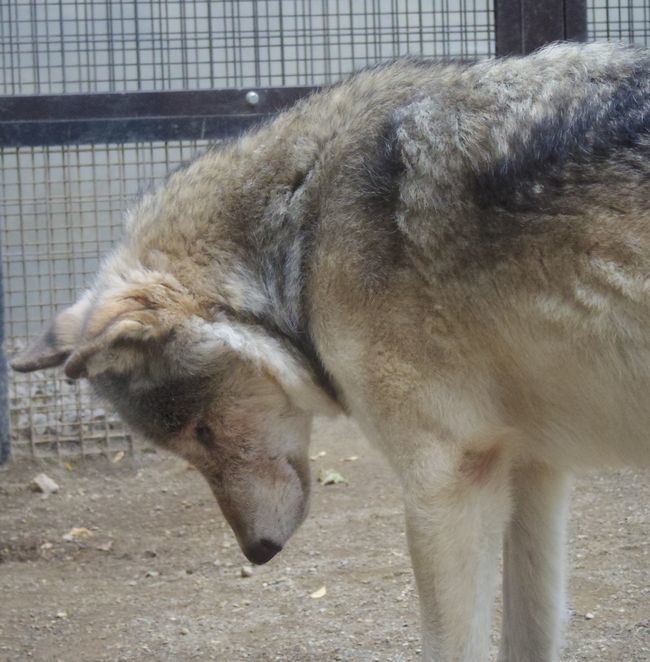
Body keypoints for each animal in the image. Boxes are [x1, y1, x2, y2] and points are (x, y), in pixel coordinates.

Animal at [8, 42, 648, 662]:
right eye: (187, 446)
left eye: (202, 433)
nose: (257, 553)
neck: (303, 226)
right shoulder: (534, 469)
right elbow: (530, 635)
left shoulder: (448, 480)